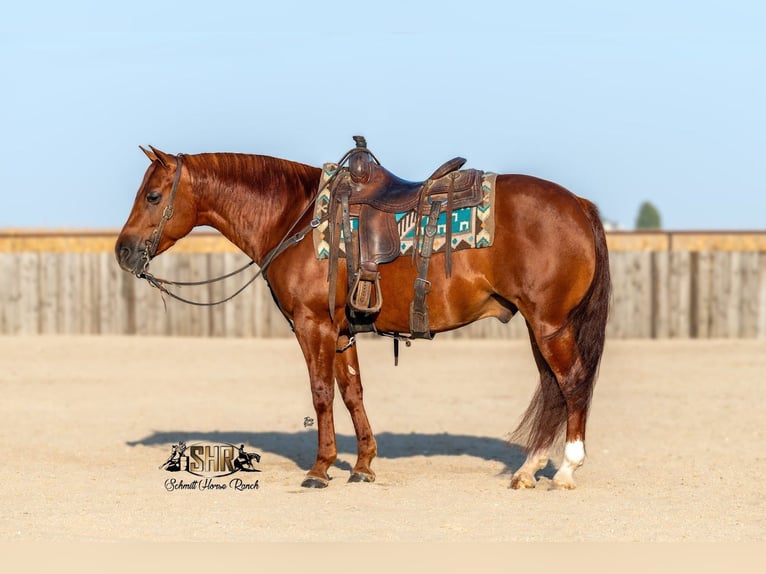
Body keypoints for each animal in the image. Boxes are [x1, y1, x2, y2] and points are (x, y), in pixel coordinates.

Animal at [115, 143, 610, 490]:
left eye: (153, 196)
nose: (123, 251)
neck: (295, 220)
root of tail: (579, 203)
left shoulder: (312, 324)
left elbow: (321, 394)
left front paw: (320, 469)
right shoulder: (340, 332)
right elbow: (352, 393)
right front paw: (364, 465)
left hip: (549, 324)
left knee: (571, 383)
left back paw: (566, 470)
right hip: (537, 325)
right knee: (552, 387)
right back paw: (528, 469)